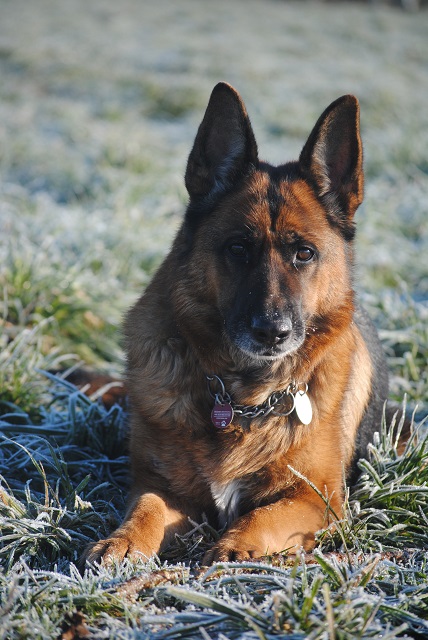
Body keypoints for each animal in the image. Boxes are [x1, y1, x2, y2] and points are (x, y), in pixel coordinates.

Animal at [84, 82, 390, 565]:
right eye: (238, 248)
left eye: (304, 253)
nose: (271, 332)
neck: (242, 398)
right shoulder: (165, 489)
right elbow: (147, 509)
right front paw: (123, 541)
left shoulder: (318, 499)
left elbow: (263, 515)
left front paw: (233, 547)